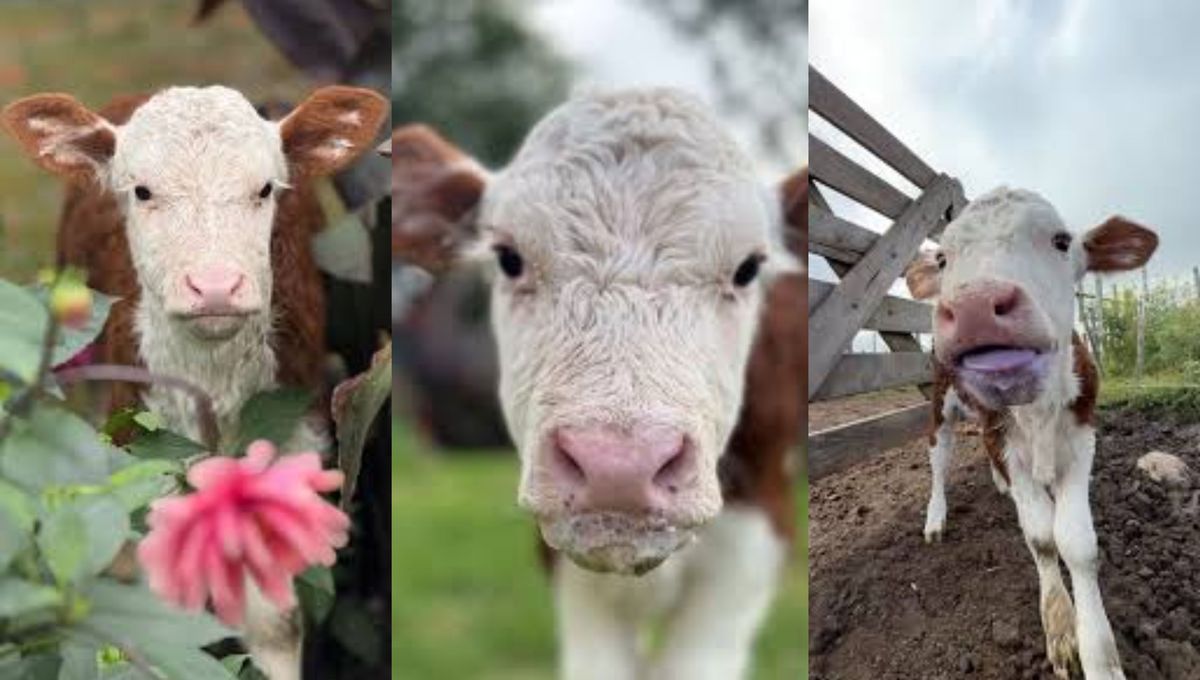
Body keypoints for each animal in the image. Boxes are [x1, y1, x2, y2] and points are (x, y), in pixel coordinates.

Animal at [904, 187, 1158, 679]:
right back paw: (936, 517)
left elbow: (1076, 540)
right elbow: (1041, 537)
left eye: (1062, 241)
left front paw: (1099, 655)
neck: (1037, 410)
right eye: (943, 258)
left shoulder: (1081, 437)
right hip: (941, 406)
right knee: (939, 461)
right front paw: (1060, 629)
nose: (975, 307)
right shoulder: (1005, 443)